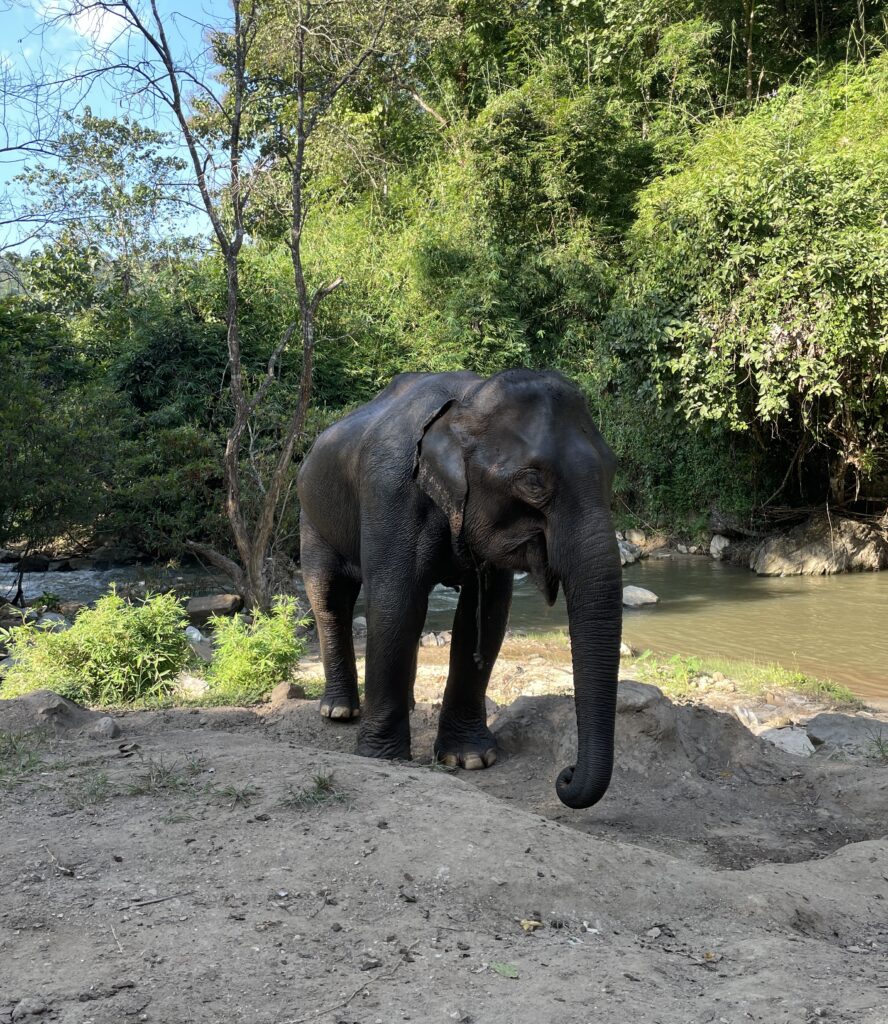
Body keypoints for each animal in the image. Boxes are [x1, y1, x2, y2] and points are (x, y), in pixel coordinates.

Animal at [296, 369, 622, 809]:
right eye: (533, 482)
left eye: (612, 469)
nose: (565, 775)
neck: (466, 400)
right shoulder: (390, 491)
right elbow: (394, 605)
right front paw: (382, 757)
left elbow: (485, 615)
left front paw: (470, 759)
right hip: (309, 514)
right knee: (330, 597)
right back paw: (338, 711)